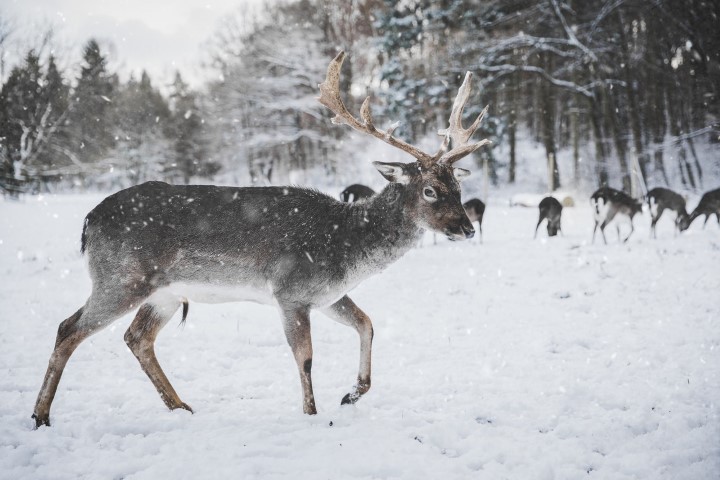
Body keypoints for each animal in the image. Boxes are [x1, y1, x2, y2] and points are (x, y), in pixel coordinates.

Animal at [29, 51, 490, 428]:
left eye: (458, 186)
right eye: (429, 190)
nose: (466, 228)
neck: (346, 247)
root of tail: (88, 221)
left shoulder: (327, 294)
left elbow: (367, 323)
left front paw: (351, 394)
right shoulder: (291, 290)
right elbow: (305, 357)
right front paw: (312, 415)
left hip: (164, 293)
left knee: (136, 338)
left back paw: (181, 407)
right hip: (121, 277)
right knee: (68, 328)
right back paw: (41, 415)